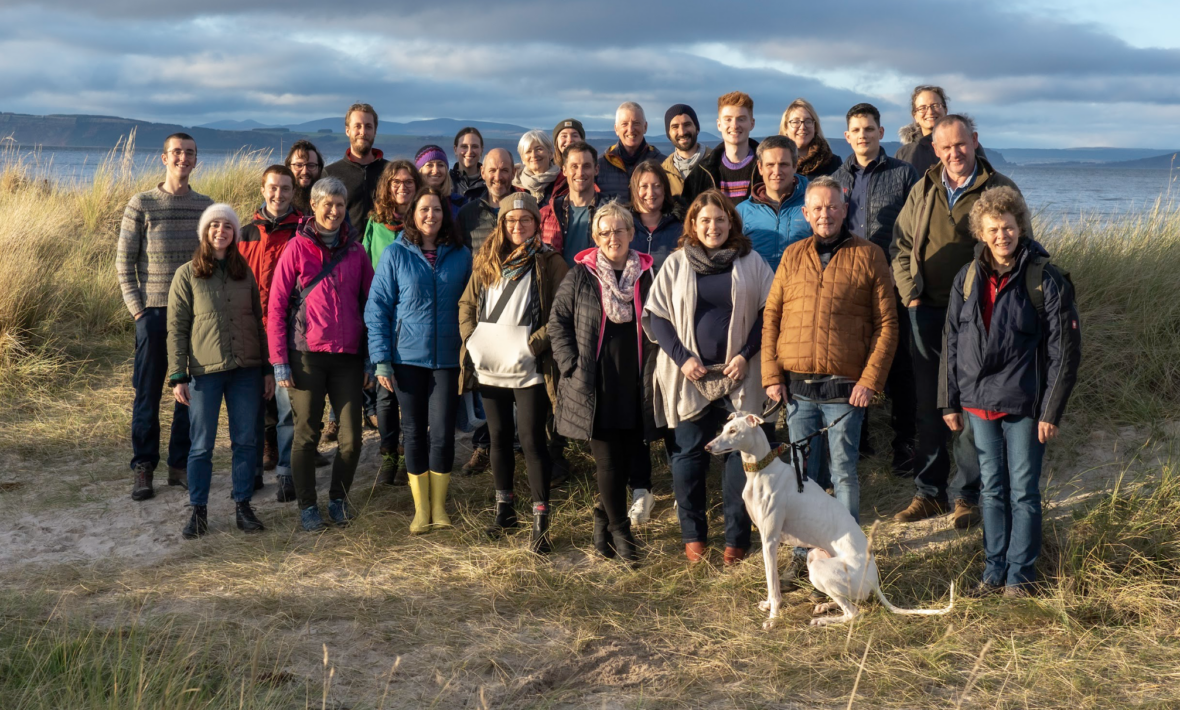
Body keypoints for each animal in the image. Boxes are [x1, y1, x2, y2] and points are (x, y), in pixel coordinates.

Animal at [703, 408, 953, 622]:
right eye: (724, 428)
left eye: (733, 431)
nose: (707, 447)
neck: (763, 470)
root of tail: (874, 581)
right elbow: (770, 583)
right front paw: (768, 606)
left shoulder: (769, 540)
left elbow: (772, 583)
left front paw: (773, 618)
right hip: (815, 557)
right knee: (854, 602)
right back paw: (824, 606)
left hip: (820, 570)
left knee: (853, 613)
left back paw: (824, 620)